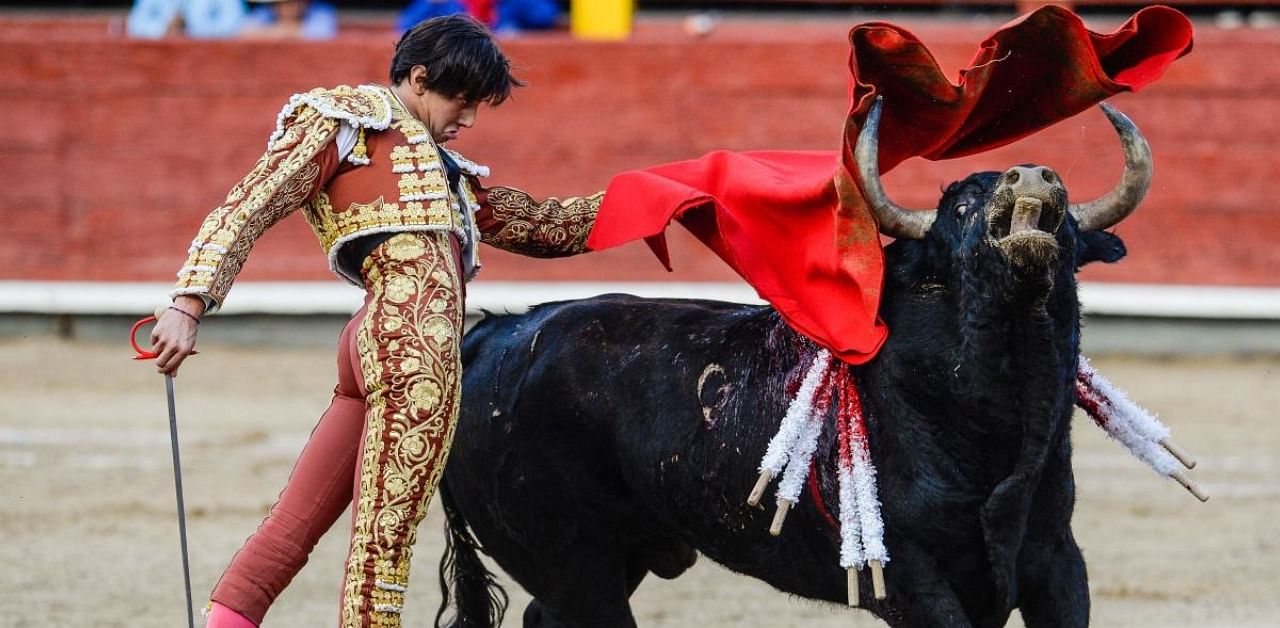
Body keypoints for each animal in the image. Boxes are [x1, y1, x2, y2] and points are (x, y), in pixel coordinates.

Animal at [435, 104, 1146, 628]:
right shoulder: (914, 580)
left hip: (607, 559)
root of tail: (495, 332)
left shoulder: (1057, 564)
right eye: (962, 208)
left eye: (1067, 219)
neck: (996, 416)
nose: (1031, 178)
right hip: (577, 570)